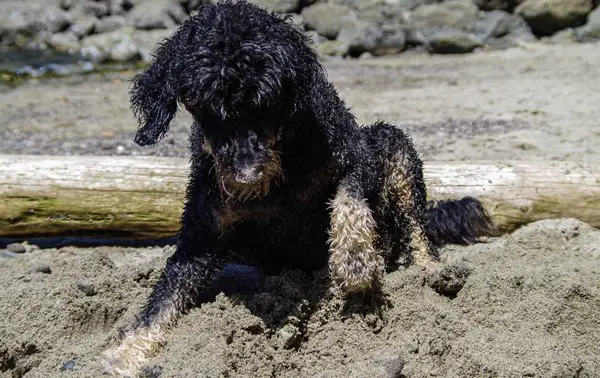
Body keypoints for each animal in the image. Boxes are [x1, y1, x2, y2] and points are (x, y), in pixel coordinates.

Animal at [103, 1, 494, 376]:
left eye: (267, 102)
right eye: (204, 107)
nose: (245, 175)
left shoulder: (356, 155)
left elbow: (348, 197)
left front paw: (355, 259)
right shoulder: (200, 236)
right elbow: (162, 300)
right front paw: (125, 353)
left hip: (393, 147)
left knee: (417, 230)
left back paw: (433, 271)